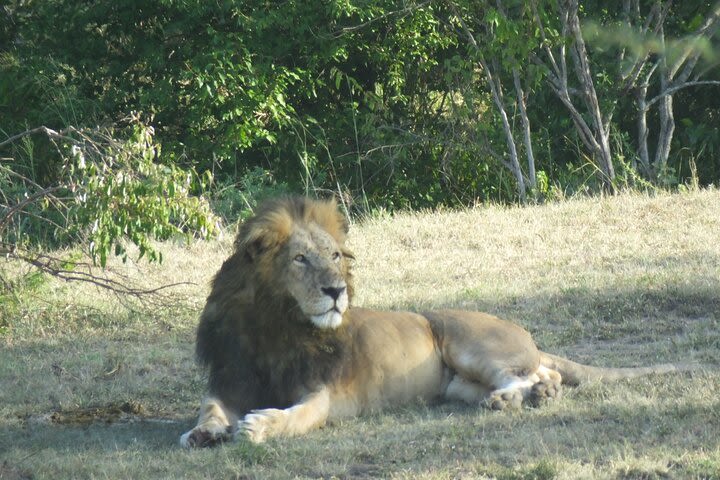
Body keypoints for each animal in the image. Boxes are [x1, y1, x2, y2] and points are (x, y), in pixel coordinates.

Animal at [180, 194, 680, 446]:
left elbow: (297, 416)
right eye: (300, 259)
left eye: (336, 256)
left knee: (533, 370)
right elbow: (209, 406)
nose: (336, 290)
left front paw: (258, 426)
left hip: (468, 341)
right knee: (540, 373)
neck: (277, 325)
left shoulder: (324, 393)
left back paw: (522, 396)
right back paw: (531, 396)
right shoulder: (232, 378)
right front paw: (204, 431)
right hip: (458, 384)